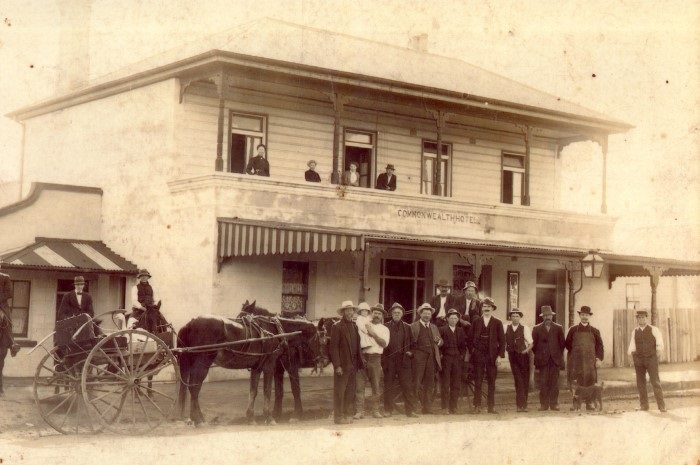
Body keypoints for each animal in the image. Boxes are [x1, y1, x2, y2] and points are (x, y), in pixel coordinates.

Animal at [178, 300, 326, 424]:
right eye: (319, 337)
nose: (318, 359)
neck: (276, 330)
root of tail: (190, 323)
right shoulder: (269, 366)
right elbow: (267, 391)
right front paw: (269, 417)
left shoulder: (257, 367)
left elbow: (253, 391)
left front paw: (250, 417)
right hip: (203, 363)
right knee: (194, 387)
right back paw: (198, 419)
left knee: (191, 387)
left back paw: (197, 418)